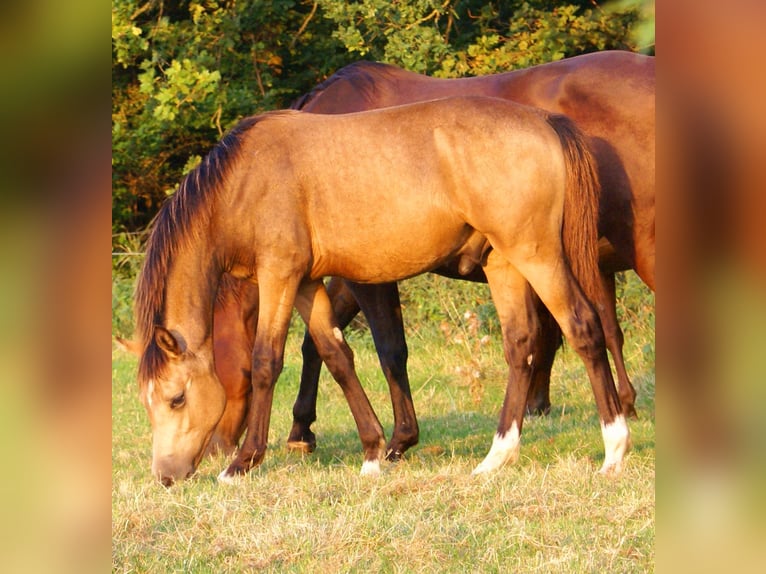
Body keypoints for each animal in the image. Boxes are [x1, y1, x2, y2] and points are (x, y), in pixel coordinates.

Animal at [135, 95, 632, 486]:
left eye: (177, 398)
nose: (166, 476)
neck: (243, 183)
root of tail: (544, 121)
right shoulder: (306, 281)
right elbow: (335, 355)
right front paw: (374, 450)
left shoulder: (279, 275)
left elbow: (265, 362)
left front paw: (243, 462)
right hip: (502, 263)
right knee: (521, 345)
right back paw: (496, 457)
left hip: (537, 255)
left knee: (583, 328)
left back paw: (614, 448)